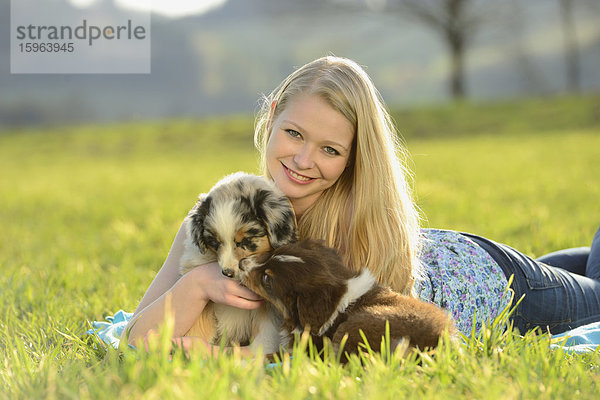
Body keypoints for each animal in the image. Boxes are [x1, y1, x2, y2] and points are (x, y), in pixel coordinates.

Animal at [180, 172, 298, 354]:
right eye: (214, 242)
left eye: (246, 241)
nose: (227, 273)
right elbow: (198, 323)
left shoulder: (269, 304)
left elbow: (265, 333)